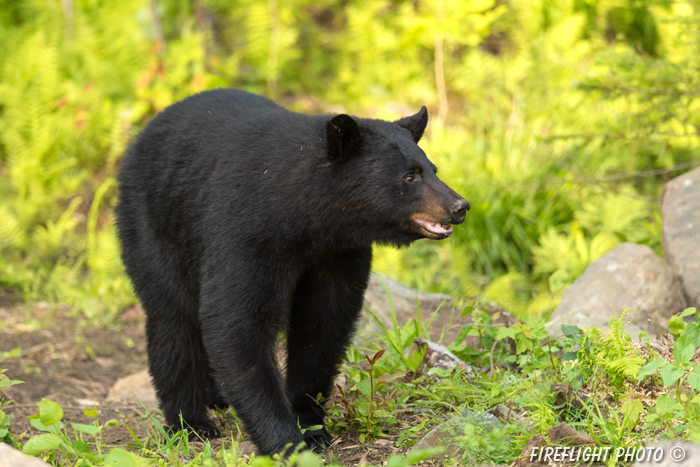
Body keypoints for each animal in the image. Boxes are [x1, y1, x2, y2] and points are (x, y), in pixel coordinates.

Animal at [115, 88, 468, 458]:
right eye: (409, 177)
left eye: (433, 169)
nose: (460, 206)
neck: (305, 218)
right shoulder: (244, 233)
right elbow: (237, 325)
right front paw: (284, 441)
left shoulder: (338, 253)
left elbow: (323, 325)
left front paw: (311, 427)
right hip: (157, 228)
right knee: (174, 322)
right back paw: (191, 422)